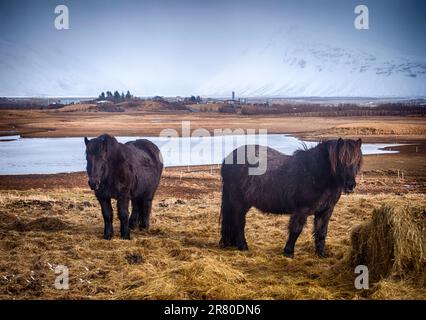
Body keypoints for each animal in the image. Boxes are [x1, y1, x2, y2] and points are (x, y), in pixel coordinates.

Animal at [220, 138, 362, 258]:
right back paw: (243, 246)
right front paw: (288, 253)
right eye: (341, 161)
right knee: (239, 222)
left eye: (357, 161)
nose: (350, 185)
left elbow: (321, 232)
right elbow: (296, 230)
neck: (315, 173)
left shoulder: (325, 211)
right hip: (239, 203)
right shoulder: (301, 210)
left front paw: (321, 254)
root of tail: (228, 159)